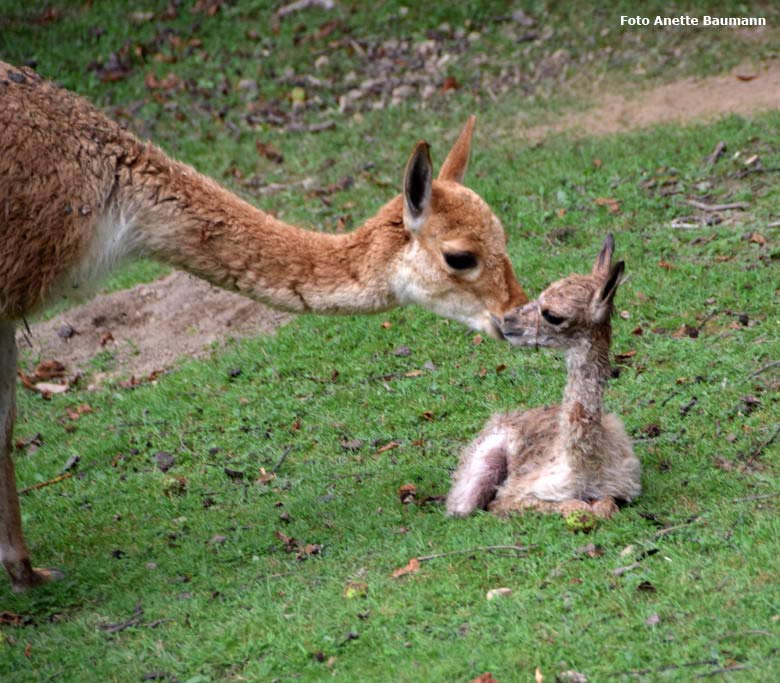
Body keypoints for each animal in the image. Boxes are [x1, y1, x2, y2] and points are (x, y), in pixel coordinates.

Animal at [0, 61, 528, 592]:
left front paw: (26, 572)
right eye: (459, 256)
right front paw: (27, 577)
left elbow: (6, 424)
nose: (517, 316)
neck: (106, 200)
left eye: (503, 235)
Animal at [448, 235, 644, 520]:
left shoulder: (623, 487)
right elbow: (568, 506)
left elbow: (605, 506)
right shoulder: (516, 493)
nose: (506, 320)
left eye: (553, 315)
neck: (584, 468)